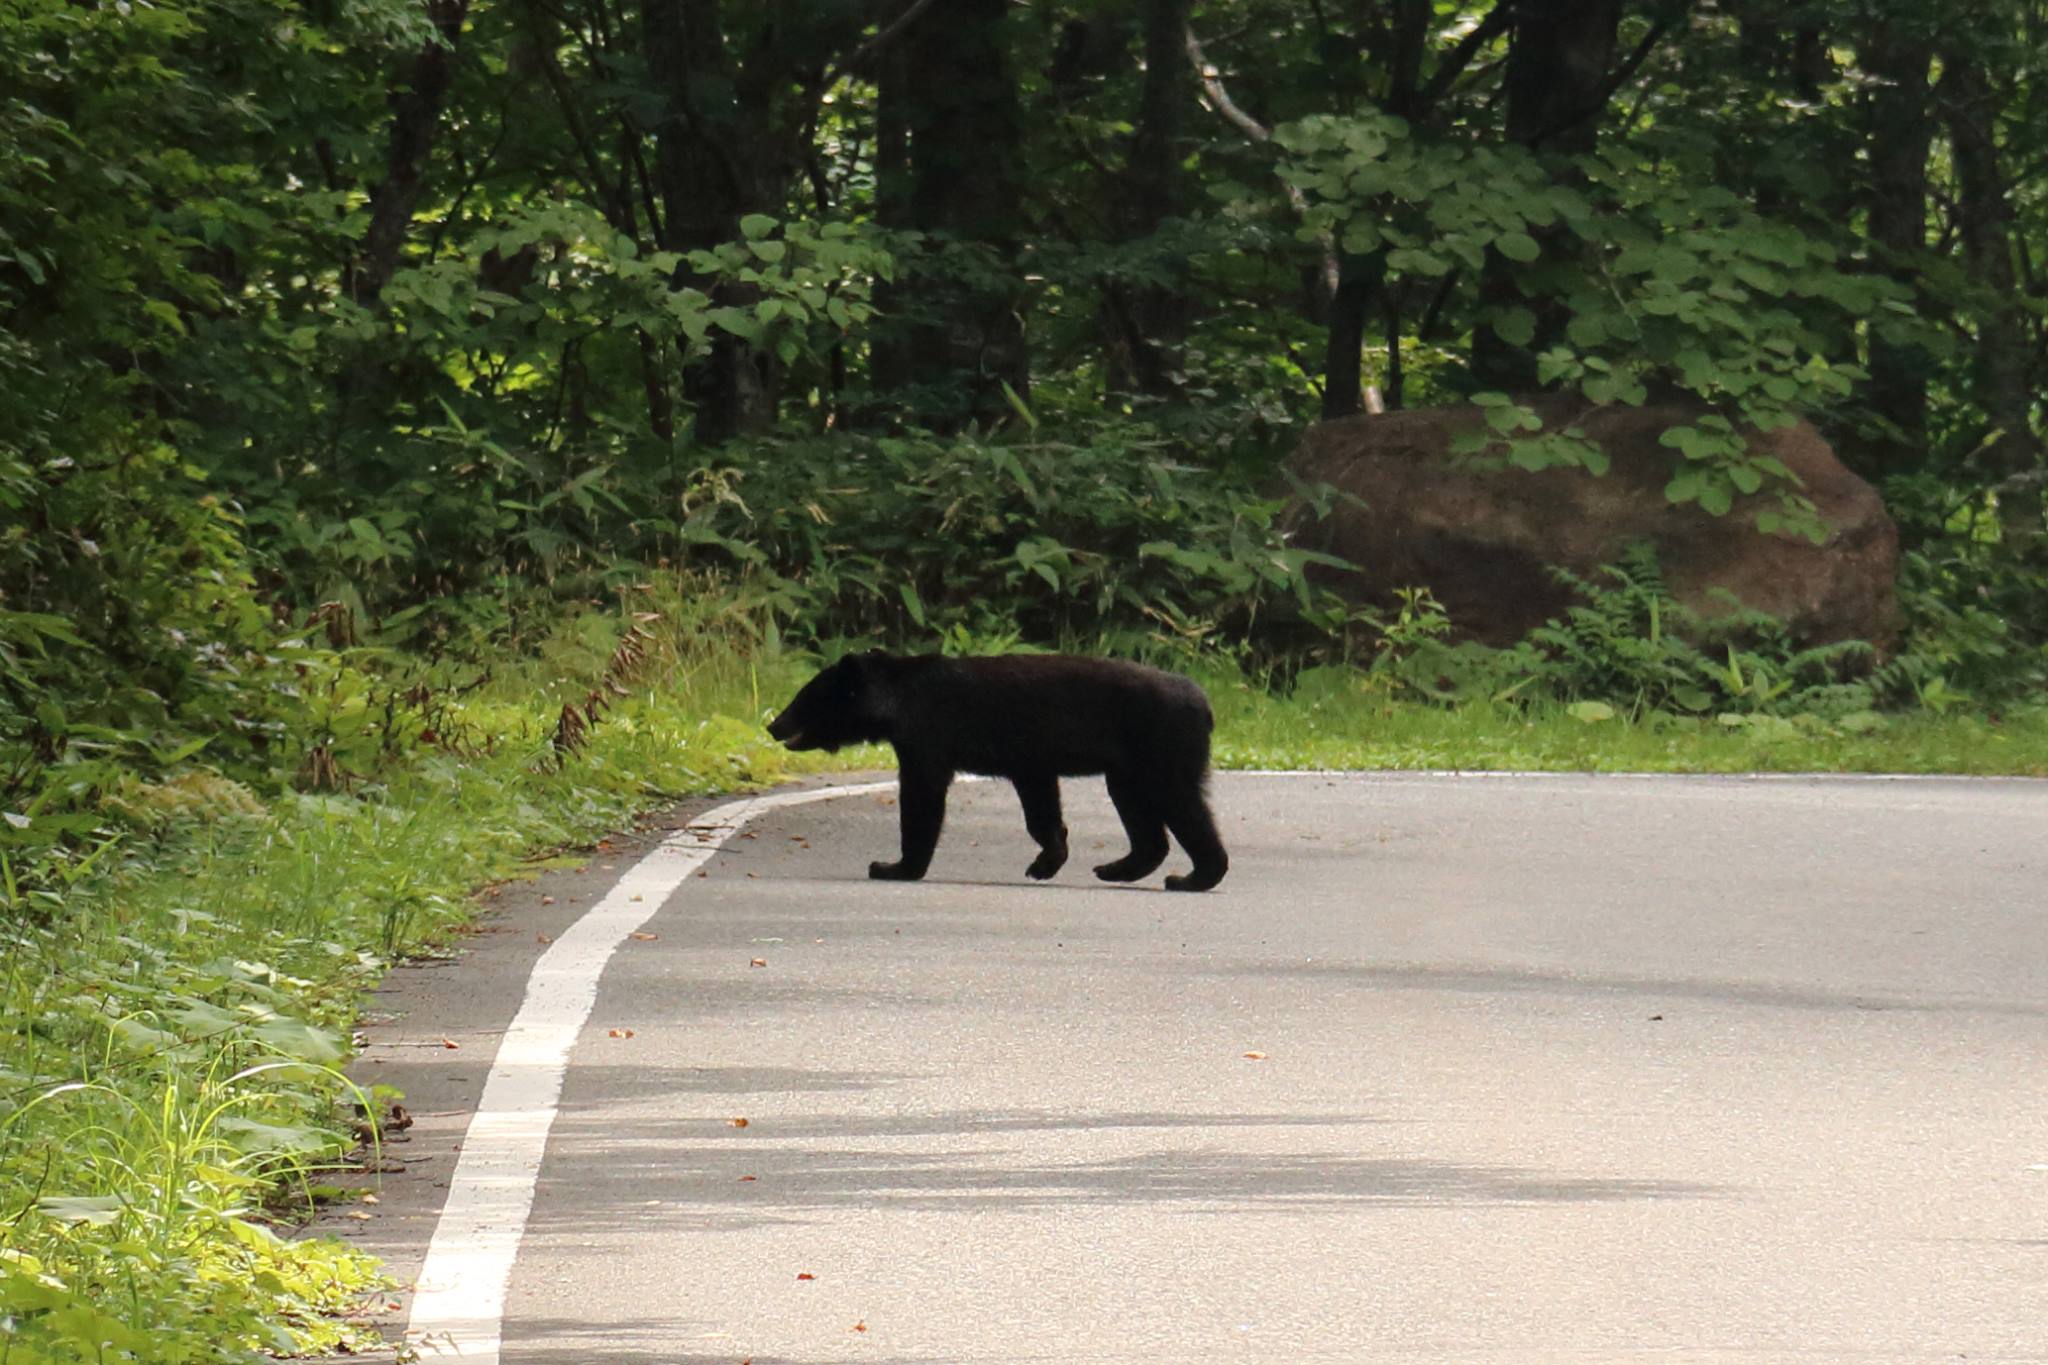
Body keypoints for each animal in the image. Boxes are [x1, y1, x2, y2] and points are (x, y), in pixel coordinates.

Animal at [766, 652, 1229, 892]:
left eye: (802, 698)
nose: (773, 725)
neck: (898, 698)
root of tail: (1205, 703)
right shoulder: (1029, 757)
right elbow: (1040, 803)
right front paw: (1047, 860)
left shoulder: (928, 735)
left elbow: (922, 795)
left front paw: (894, 866)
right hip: (1128, 763)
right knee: (1137, 809)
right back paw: (1116, 867)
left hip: (1161, 746)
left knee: (1181, 802)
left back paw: (1193, 876)